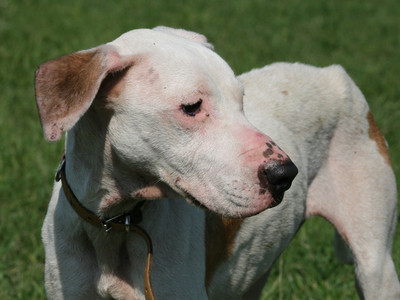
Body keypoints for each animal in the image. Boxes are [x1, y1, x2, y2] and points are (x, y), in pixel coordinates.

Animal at [35, 27, 400, 298]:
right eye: (192, 106)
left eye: (241, 100)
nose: (285, 174)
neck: (115, 222)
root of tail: (332, 73)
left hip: (375, 266)